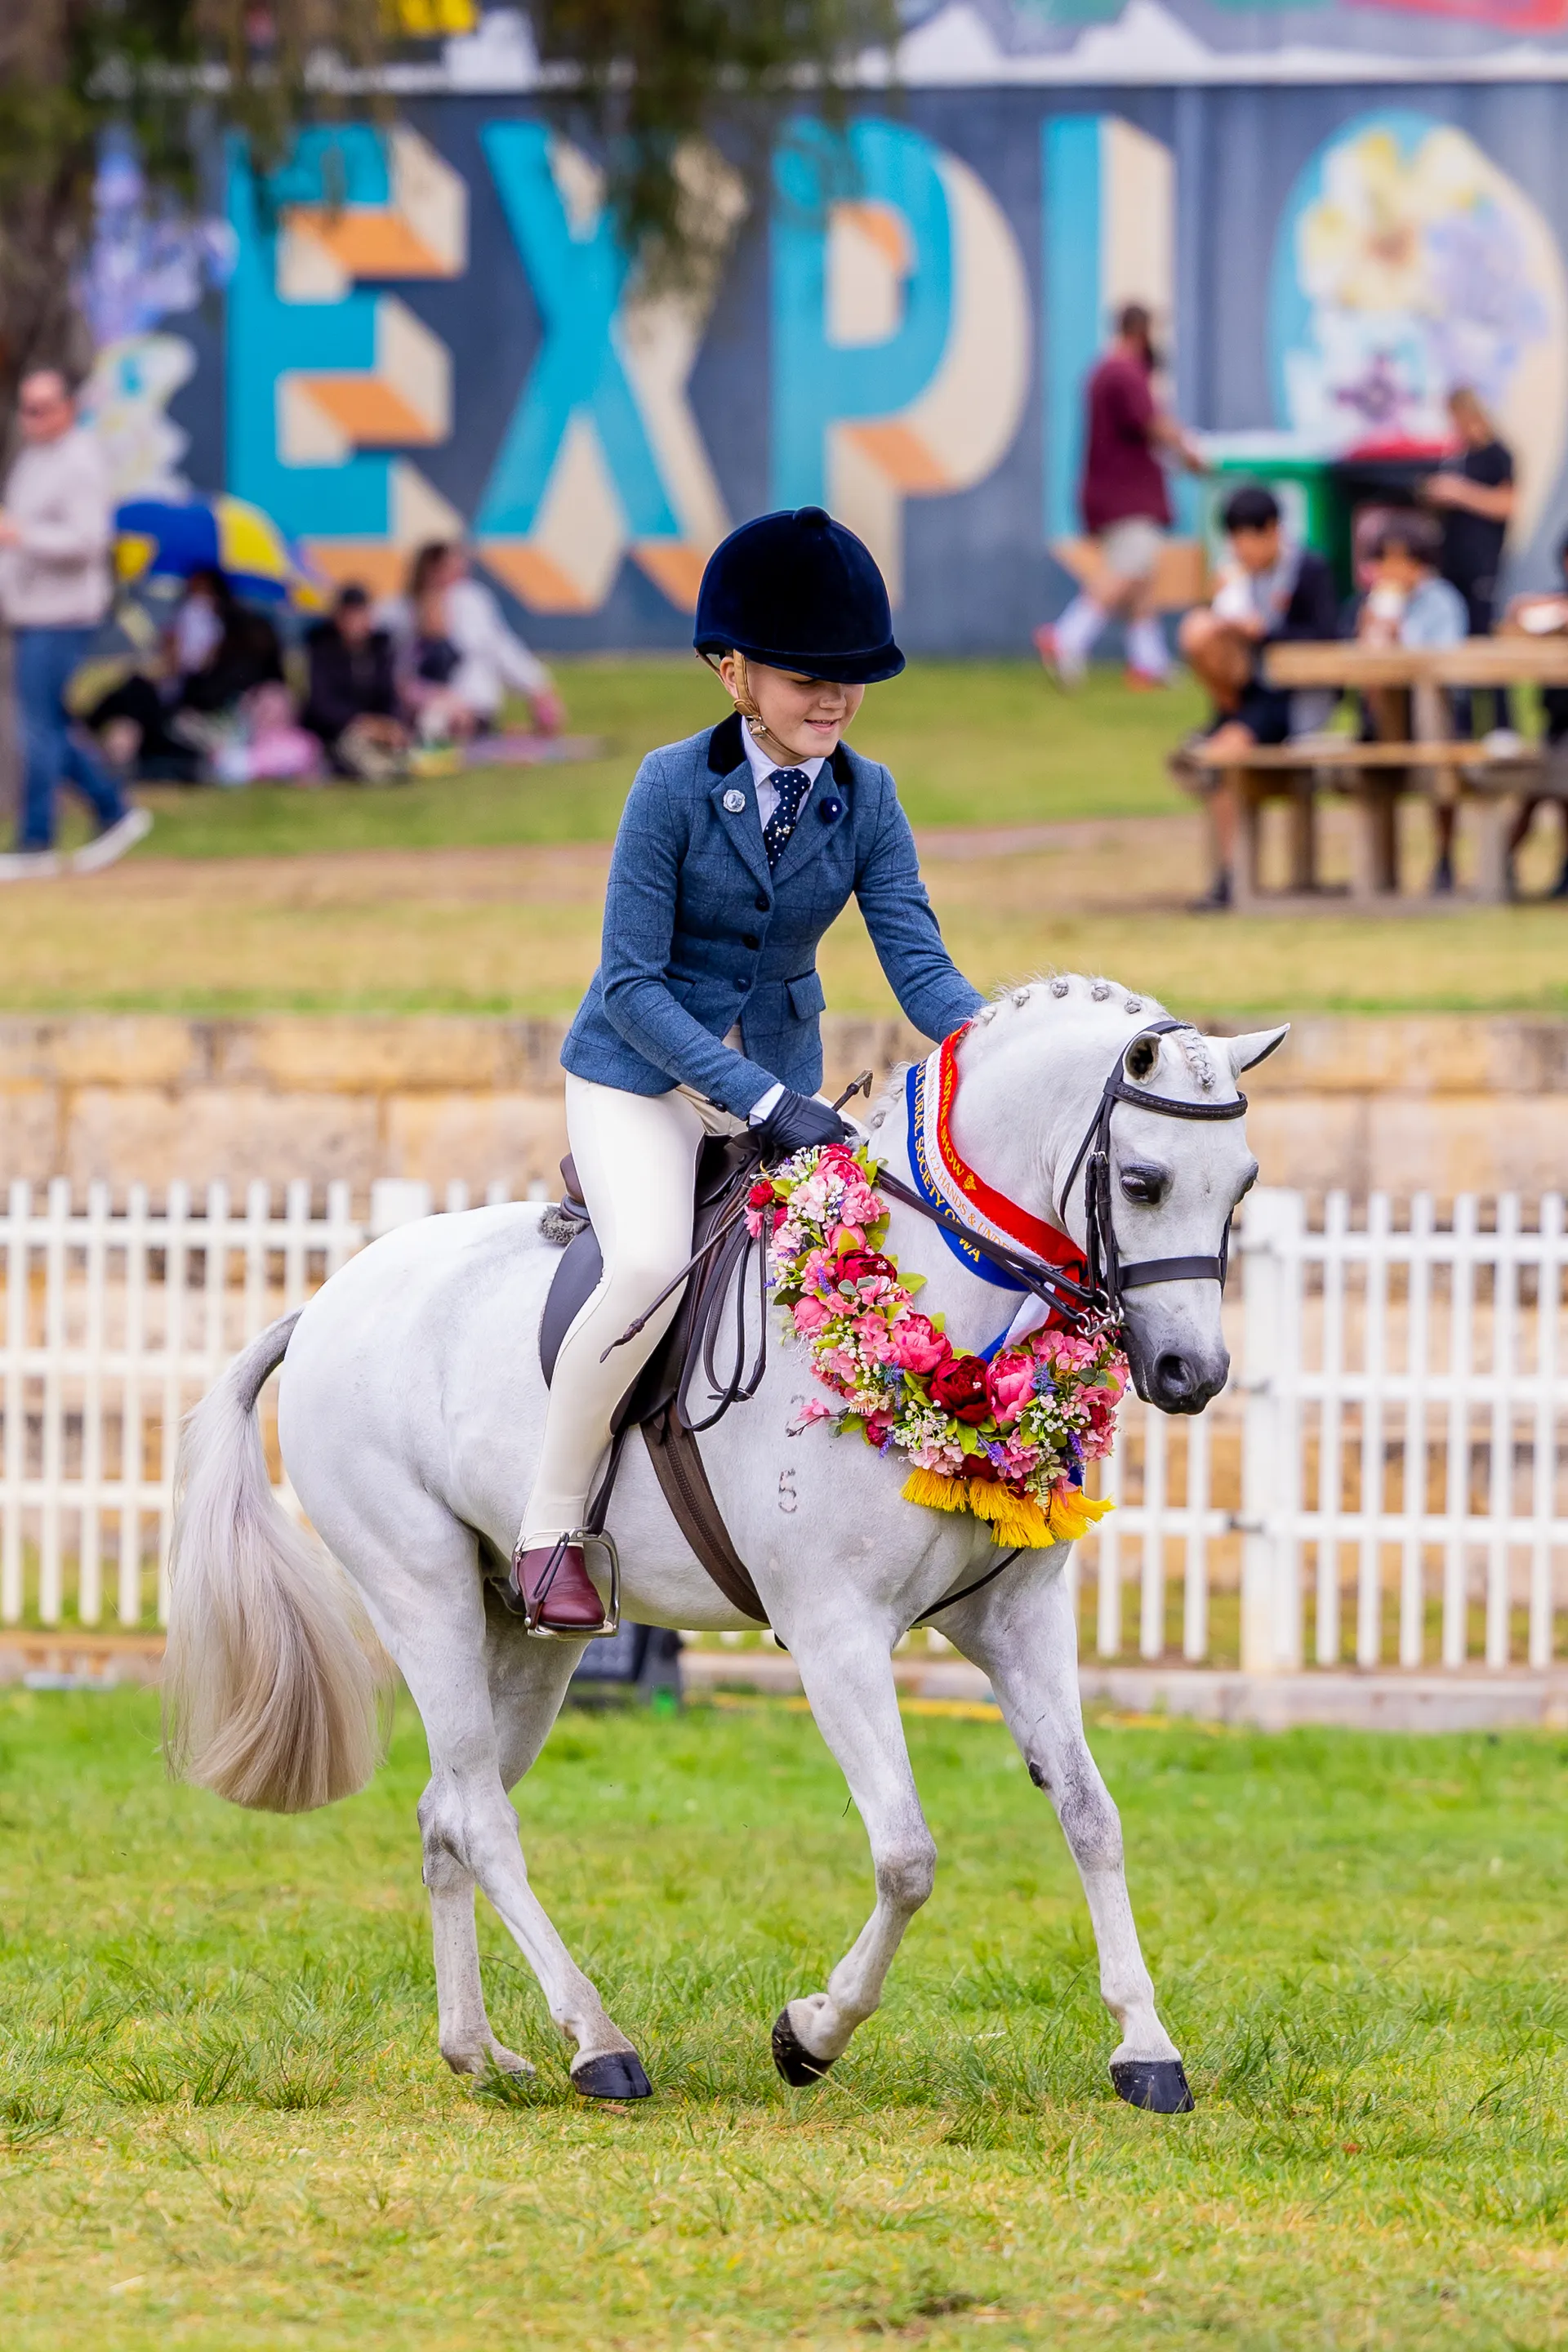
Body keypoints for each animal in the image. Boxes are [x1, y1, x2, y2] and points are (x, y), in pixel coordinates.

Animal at [164, 978, 1285, 2111]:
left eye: (1242, 1184)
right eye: (1143, 1182)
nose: (1192, 1374)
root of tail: (325, 1301)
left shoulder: (1019, 1620)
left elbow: (1092, 1815)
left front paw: (1146, 2048)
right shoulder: (834, 1633)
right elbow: (907, 1855)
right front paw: (811, 2034)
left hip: (523, 1630)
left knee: (450, 1810)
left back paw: (479, 2049)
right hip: (420, 1592)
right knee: (480, 1819)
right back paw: (598, 2041)